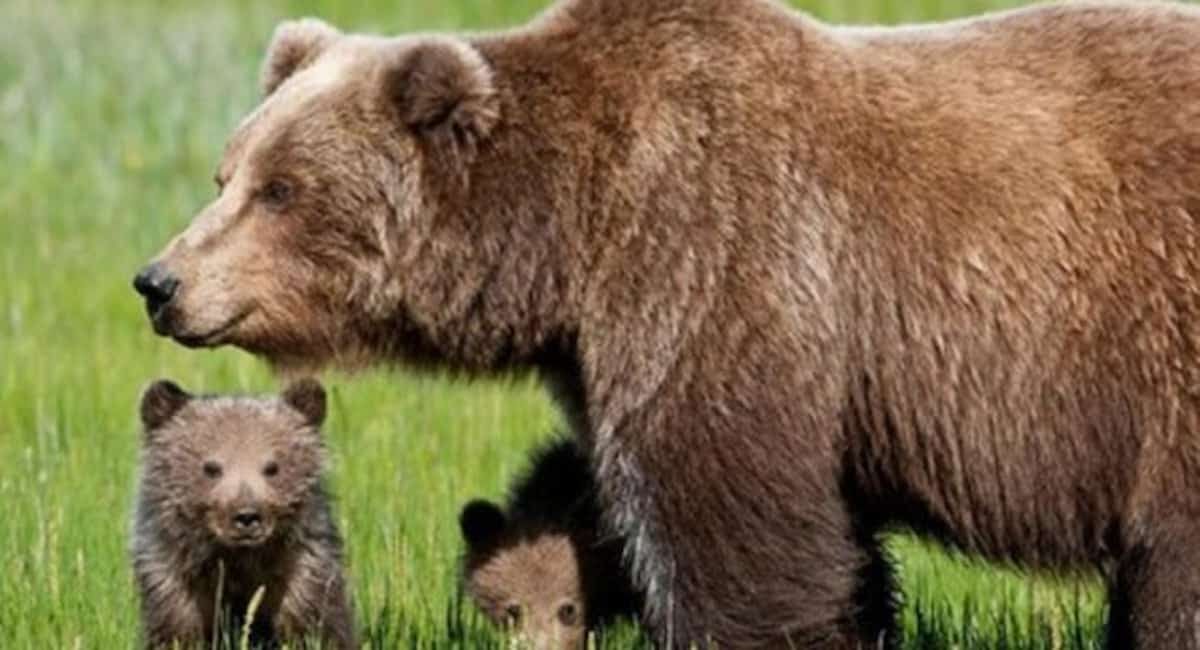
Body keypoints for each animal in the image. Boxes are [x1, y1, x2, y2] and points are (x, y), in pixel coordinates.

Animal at [136, 2, 1200, 647]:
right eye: (227, 171)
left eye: (282, 189)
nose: (159, 281)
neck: (569, 233)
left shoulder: (715, 260)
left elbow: (729, 519)